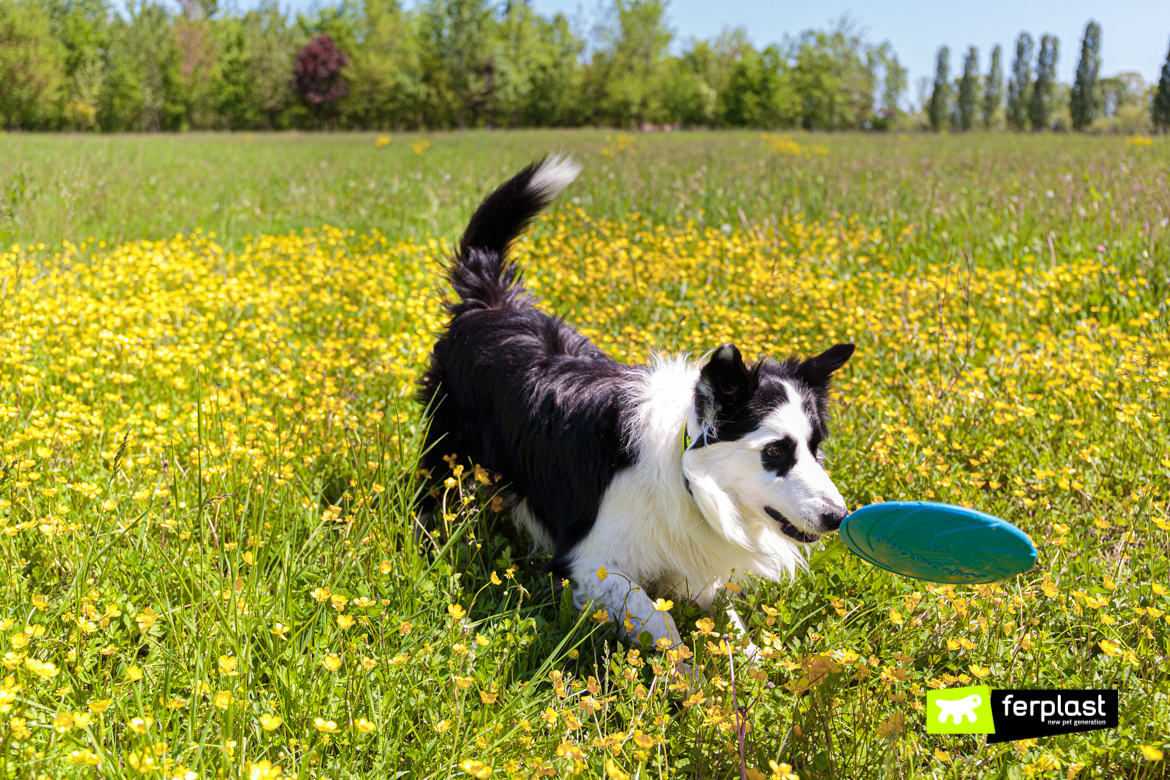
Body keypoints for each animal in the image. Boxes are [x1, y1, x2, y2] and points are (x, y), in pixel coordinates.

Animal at [416, 155, 856, 650]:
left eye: (815, 448)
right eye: (775, 451)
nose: (838, 517)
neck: (684, 472)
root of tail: (489, 302)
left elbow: (728, 628)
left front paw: (754, 666)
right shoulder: (590, 562)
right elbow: (664, 627)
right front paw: (685, 672)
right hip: (447, 449)